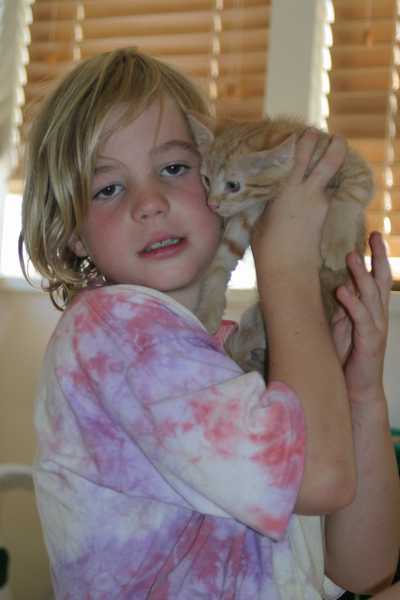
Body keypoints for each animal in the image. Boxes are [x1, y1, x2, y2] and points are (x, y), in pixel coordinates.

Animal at [187, 113, 374, 374]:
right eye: (205, 179)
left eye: (233, 185)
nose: (212, 205)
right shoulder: (248, 213)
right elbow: (222, 257)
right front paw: (208, 309)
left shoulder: (352, 163)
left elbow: (350, 192)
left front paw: (337, 243)